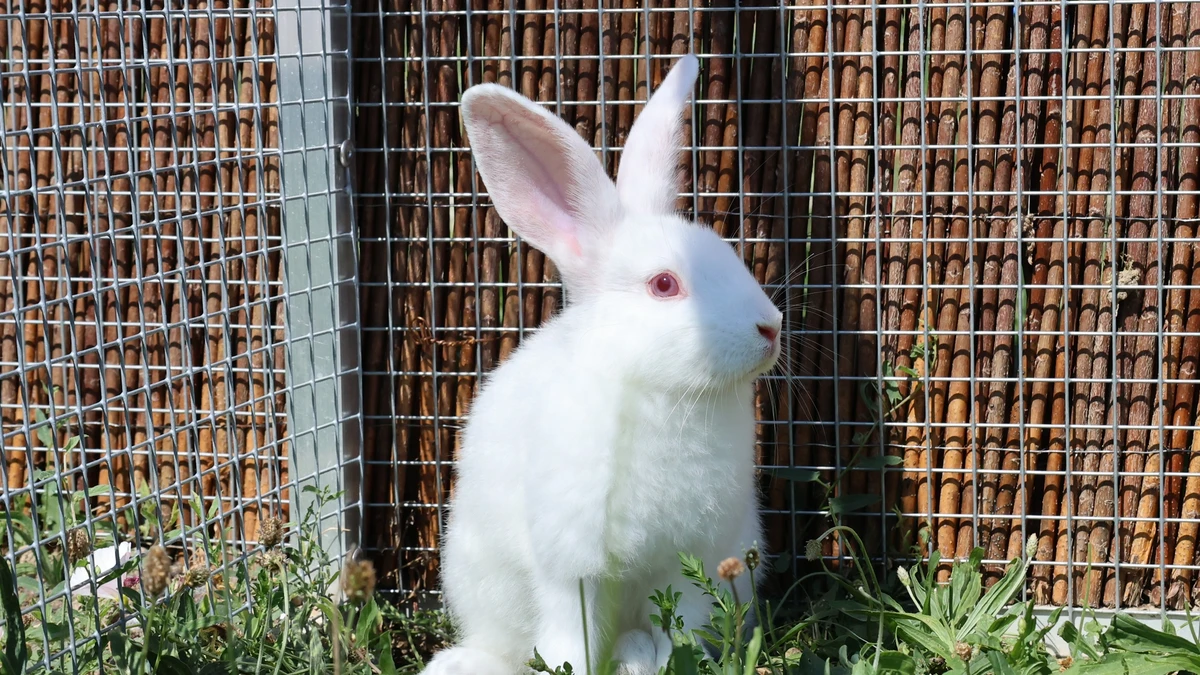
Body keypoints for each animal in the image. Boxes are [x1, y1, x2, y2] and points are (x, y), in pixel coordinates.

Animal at [420, 53, 783, 675]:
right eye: (664, 285)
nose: (771, 328)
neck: (658, 390)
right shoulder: (573, 565)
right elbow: (572, 636)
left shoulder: (692, 559)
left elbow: (685, 622)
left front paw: (677, 657)